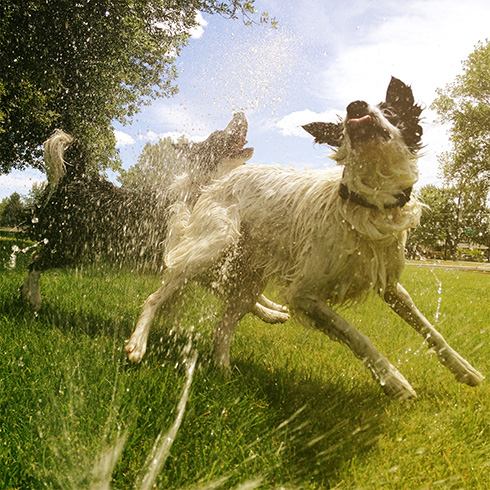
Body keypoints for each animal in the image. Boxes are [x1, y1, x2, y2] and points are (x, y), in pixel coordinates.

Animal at [125, 76, 482, 398]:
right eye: (344, 125)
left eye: (390, 112)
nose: (355, 105)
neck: (366, 205)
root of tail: (214, 183)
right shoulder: (303, 295)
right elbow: (357, 336)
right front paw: (394, 381)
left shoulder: (390, 284)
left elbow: (429, 329)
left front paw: (464, 370)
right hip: (214, 244)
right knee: (157, 295)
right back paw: (138, 343)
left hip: (248, 277)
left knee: (223, 327)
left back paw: (224, 370)